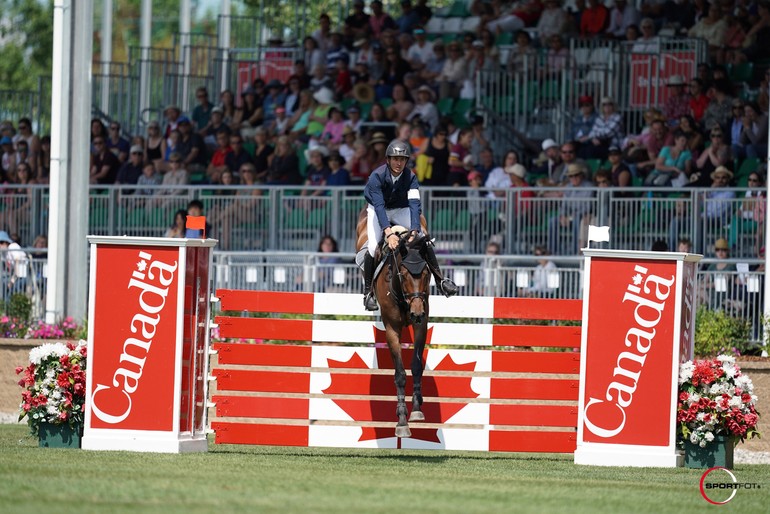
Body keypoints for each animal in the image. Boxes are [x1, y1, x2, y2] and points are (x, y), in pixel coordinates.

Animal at [356, 208, 432, 436]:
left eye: (426, 273)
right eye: (403, 273)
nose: (416, 312)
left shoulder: (421, 326)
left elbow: (416, 365)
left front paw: (416, 410)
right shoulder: (392, 330)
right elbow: (399, 374)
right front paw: (402, 422)